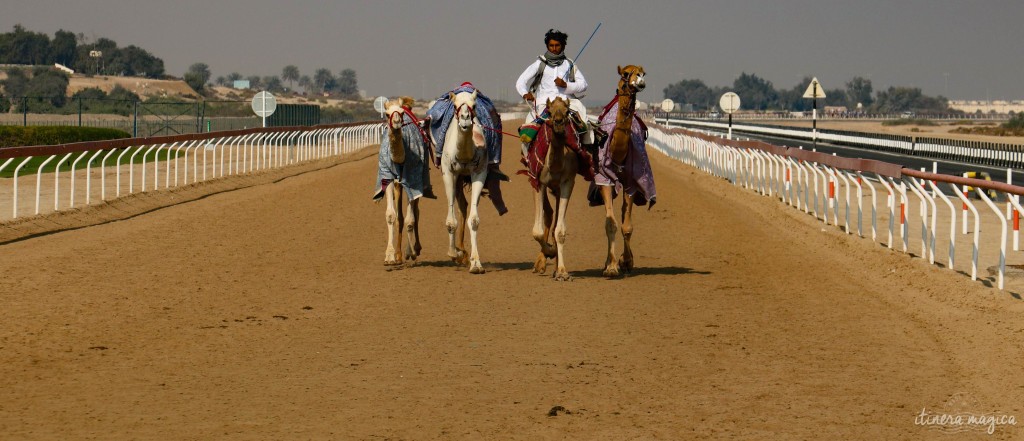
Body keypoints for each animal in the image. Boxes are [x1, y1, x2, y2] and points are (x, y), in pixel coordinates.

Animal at [524, 98, 581, 282]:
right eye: (549, 111)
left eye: (567, 110)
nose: (558, 122)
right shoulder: (538, 182)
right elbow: (537, 231)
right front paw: (549, 252)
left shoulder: (567, 183)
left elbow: (560, 231)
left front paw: (562, 272)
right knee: (549, 215)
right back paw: (541, 262)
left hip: (557, 189)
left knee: (555, 220)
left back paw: (553, 267)